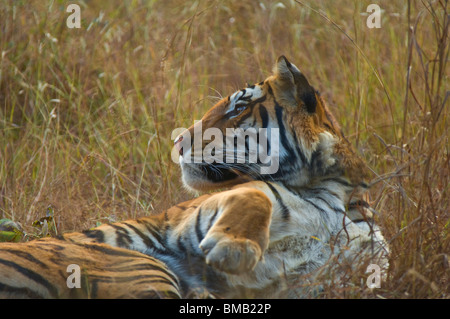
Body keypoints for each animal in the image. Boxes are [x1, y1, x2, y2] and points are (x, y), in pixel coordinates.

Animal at [0, 55, 386, 300]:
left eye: (238, 107)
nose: (177, 141)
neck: (334, 189)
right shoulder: (200, 211)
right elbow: (257, 194)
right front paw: (233, 249)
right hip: (140, 267)